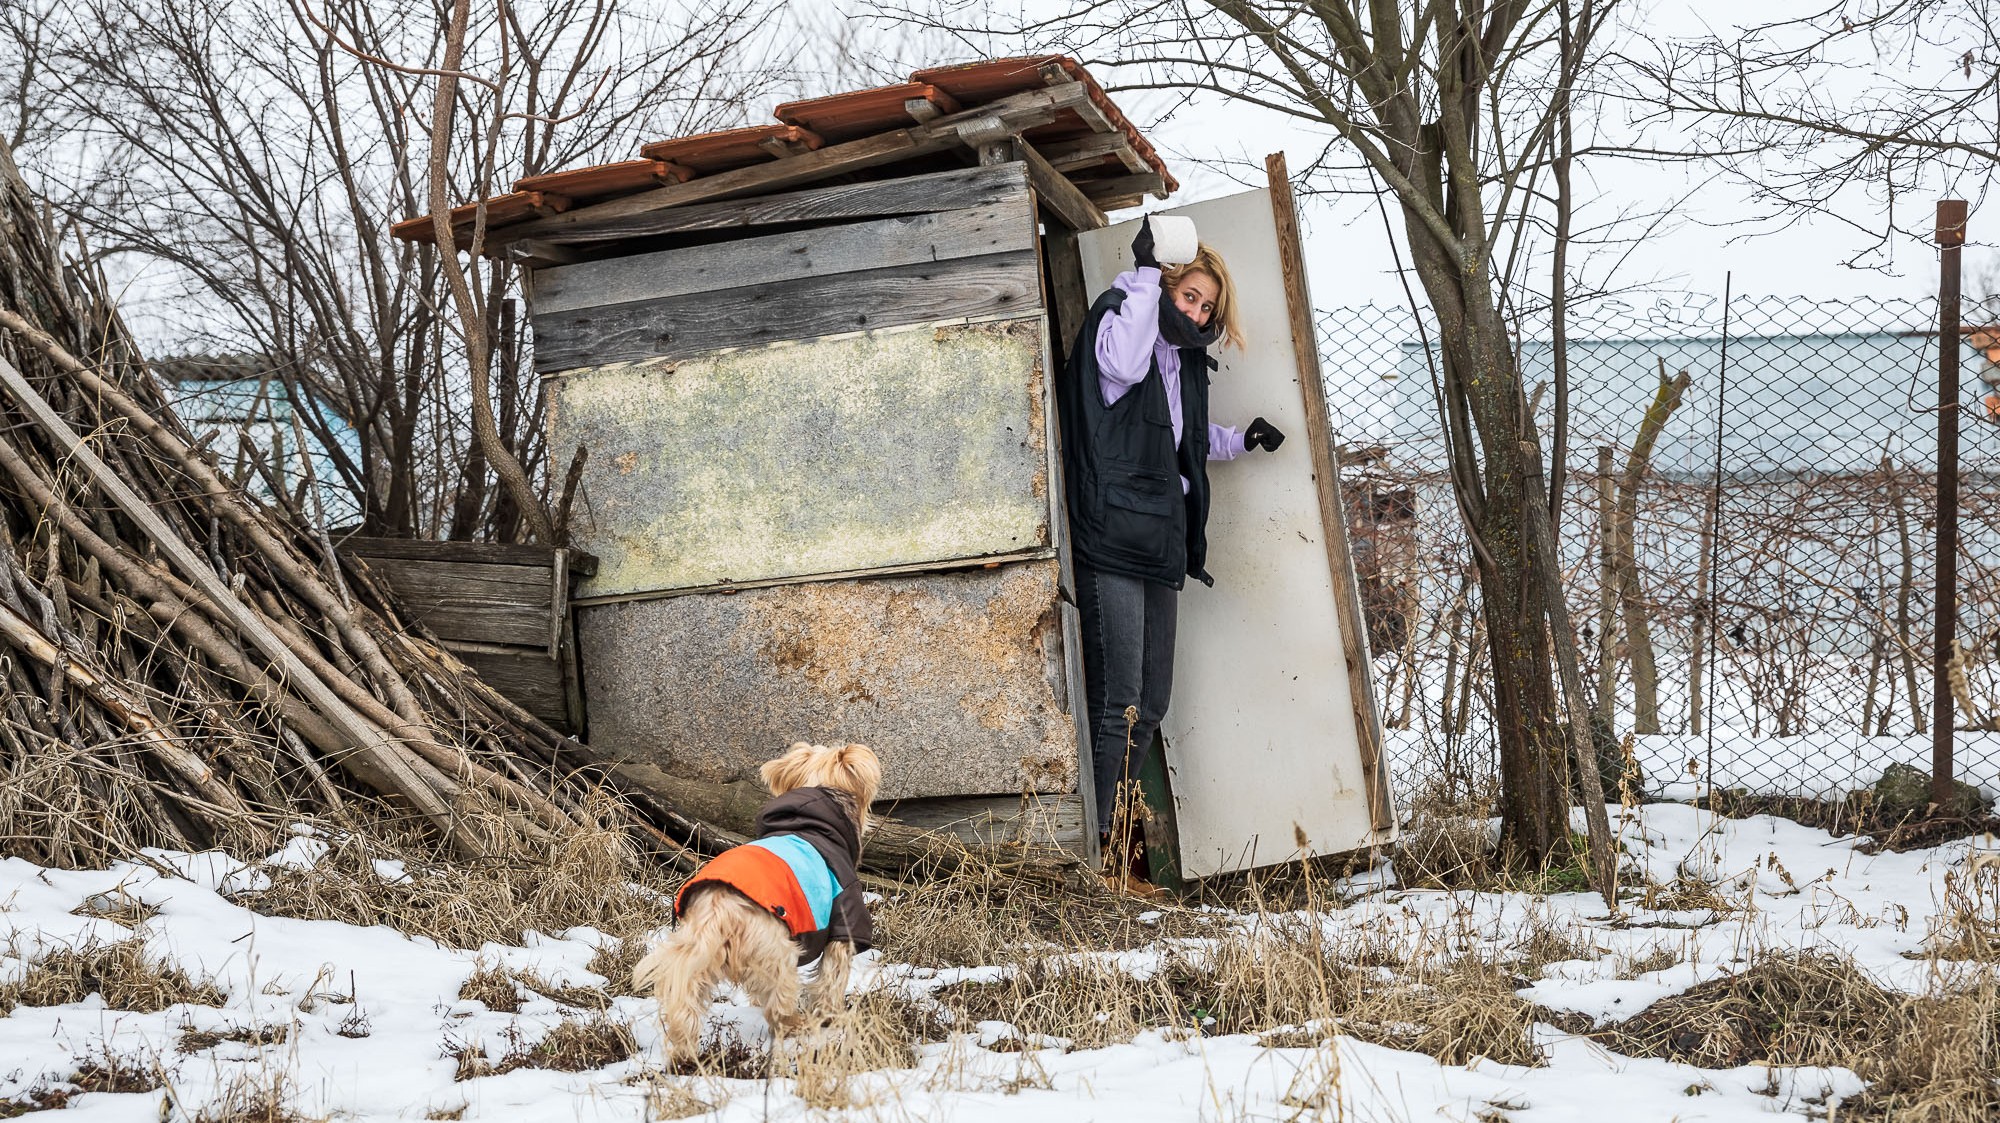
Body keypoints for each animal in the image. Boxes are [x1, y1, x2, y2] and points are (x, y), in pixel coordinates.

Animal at [632, 739, 884, 1055]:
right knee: (779, 1004)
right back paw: (796, 1025)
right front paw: (832, 1016)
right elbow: (831, 980)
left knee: (685, 1006)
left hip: (695, 956)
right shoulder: (844, 922)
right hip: (778, 951)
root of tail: (719, 907)